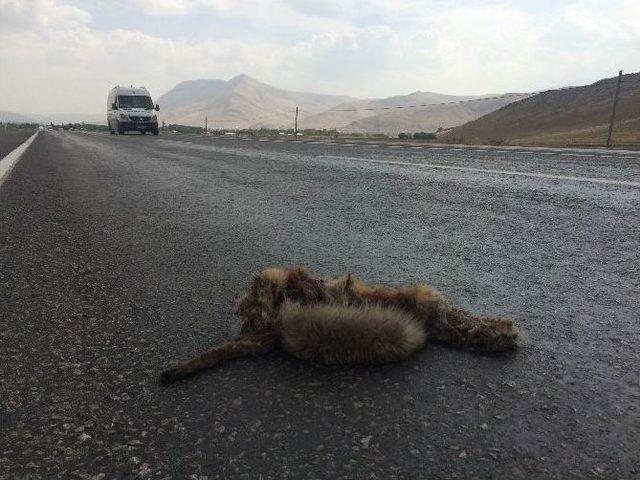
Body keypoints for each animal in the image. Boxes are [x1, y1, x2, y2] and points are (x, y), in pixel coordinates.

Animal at [159, 266, 516, 382]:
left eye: (250, 298)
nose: (238, 307)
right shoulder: (261, 338)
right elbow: (220, 352)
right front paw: (183, 368)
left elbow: (306, 281)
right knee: (459, 329)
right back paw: (496, 336)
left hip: (425, 301)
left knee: (459, 322)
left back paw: (498, 332)